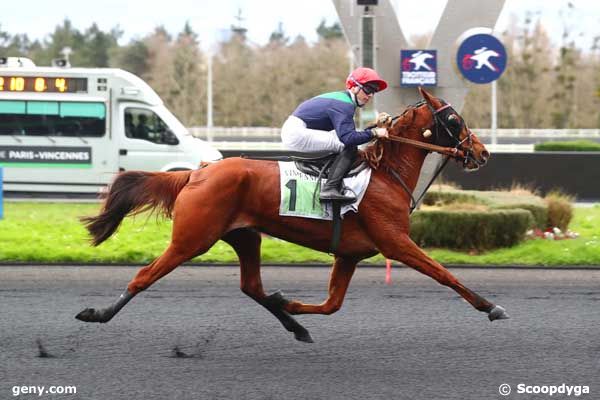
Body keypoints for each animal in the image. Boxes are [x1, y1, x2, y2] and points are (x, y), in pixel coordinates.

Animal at [75, 88, 506, 344]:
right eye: (454, 121)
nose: (482, 153)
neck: (386, 174)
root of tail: (196, 171)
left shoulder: (349, 254)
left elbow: (332, 303)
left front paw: (292, 304)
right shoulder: (395, 241)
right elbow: (445, 274)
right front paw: (490, 306)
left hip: (245, 235)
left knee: (252, 287)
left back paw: (294, 324)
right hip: (192, 238)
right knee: (145, 275)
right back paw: (97, 313)